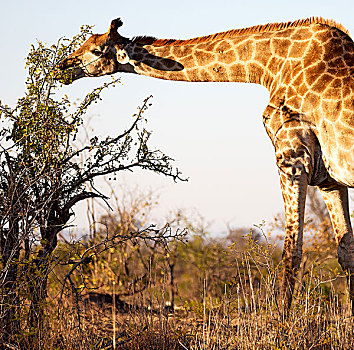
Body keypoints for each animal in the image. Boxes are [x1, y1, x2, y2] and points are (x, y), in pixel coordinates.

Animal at [56, 16, 352, 314]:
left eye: (95, 50)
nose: (61, 66)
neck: (268, 68)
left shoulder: (292, 158)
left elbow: (292, 251)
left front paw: (281, 322)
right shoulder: (329, 179)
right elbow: (345, 250)